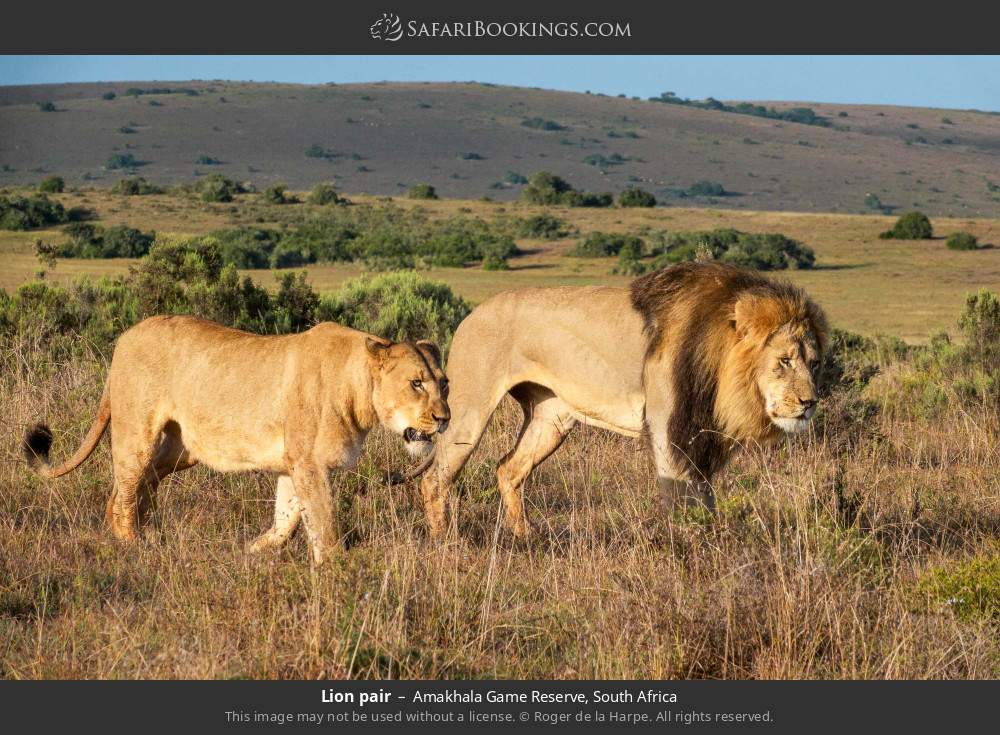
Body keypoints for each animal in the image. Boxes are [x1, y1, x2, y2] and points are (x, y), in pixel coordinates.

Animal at [23, 315, 450, 564]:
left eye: (444, 383)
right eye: (416, 383)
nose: (444, 419)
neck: (356, 385)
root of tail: (125, 337)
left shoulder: (292, 464)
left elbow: (286, 519)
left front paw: (254, 550)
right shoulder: (309, 463)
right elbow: (324, 523)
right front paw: (334, 572)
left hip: (180, 450)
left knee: (135, 487)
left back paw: (147, 534)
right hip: (137, 433)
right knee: (126, 486)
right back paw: (132, 544)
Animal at [403, 262, 827, 538]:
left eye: (815, 363)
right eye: (784, 361)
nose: (810, 403)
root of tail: (470, 314)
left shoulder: (702, 434)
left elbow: (704, 498)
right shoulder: (669, 427)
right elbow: (680, 499)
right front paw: (687, 551)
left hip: (551, 419)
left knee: (508, 468)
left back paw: (526, 538)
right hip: (469, 412)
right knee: (435, 479)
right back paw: (445, 544)